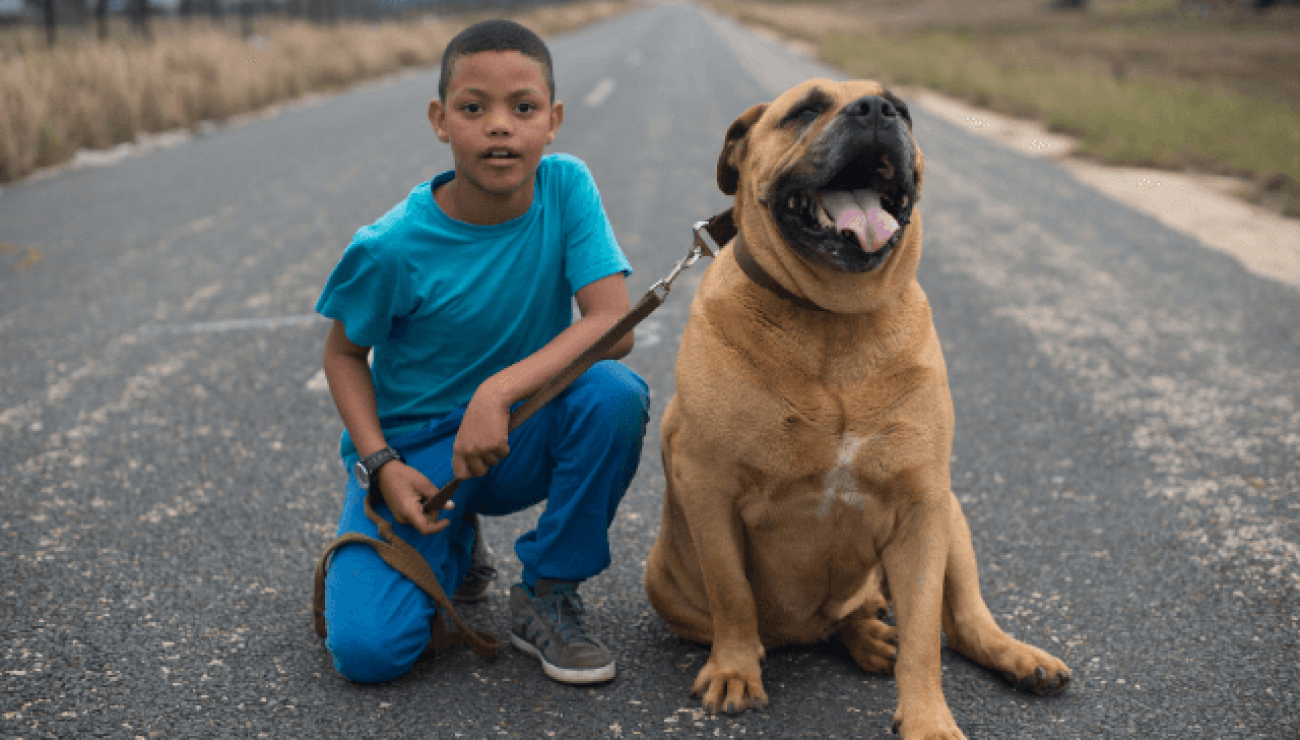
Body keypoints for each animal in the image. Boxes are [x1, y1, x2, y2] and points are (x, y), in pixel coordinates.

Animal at [644, 78, 1071, 733]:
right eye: (804, 110)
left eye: (905, 110)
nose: (876, 111)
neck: (834, 320)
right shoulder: (707, 486)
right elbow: (732, 593)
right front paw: (735, 670)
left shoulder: (922, 507)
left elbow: (924, 635)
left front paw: (927, 720)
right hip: (663, 580)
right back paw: (852, 638)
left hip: (952, 515)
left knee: (962, 620)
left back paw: (1011, 657)